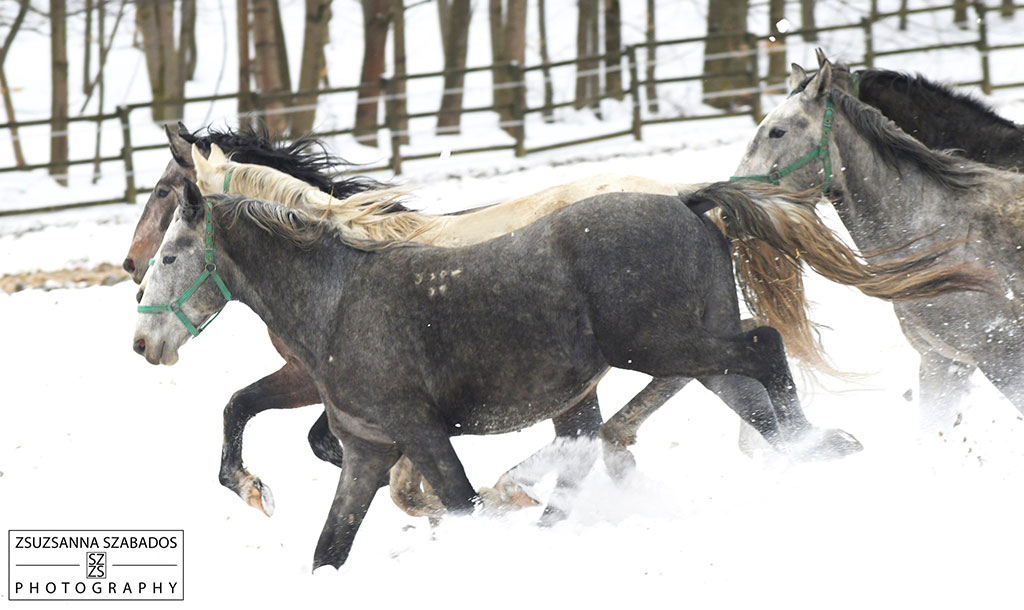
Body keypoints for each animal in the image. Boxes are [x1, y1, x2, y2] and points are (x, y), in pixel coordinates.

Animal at [134, 179, 872, 569]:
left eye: (171, 254)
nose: (143, 342)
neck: (336, 303)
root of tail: (688, 203)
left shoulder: (419, 434)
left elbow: (461, 502)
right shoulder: (368, 450)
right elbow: (330, 546)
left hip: (668, 345)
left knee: (764, 349)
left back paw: (816, 445)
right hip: (681, 350)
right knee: (735, 398)